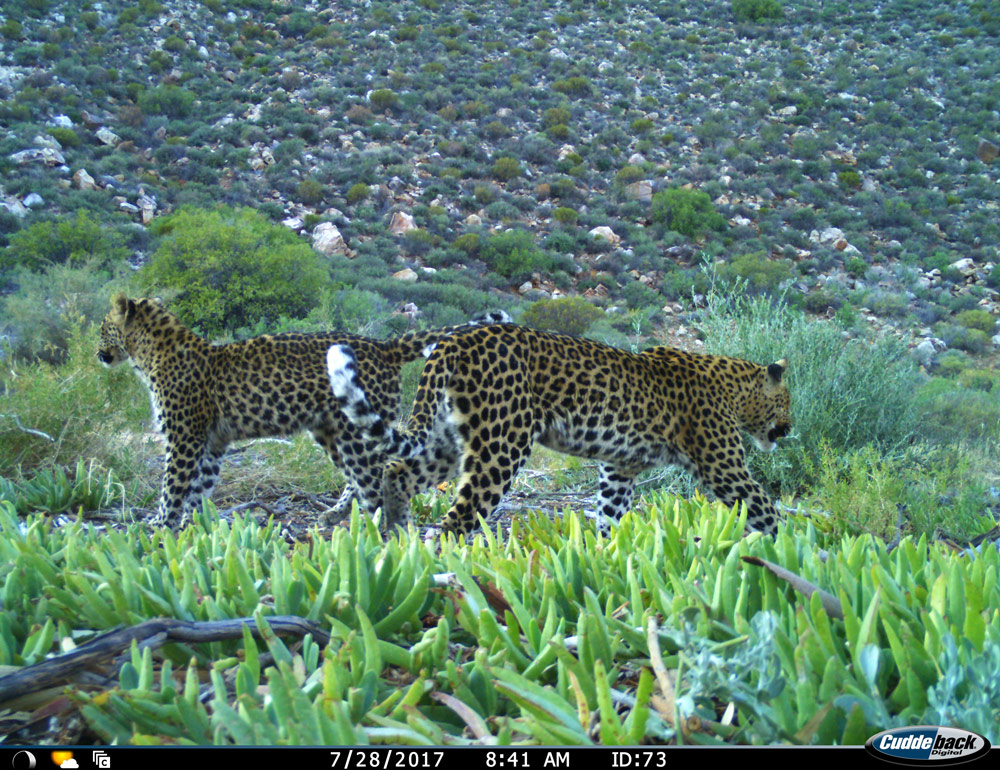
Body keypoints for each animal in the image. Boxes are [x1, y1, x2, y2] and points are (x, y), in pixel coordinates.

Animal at [96, 290, 508, 528]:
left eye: (102, 327)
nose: (97, 351)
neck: (148, 356)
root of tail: (384, 345)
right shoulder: (211, 444)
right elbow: (198, 488)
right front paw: (190, 527)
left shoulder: (183, 439)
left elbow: (172, 486)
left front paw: (158, 524)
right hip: (334, 431)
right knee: (367, 476)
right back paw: (338, 513)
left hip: (353, 434)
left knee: (376, 478)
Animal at [326, 322, 788, 536]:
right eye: (786, 402)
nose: (789, 427)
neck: (733, 386)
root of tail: (456, 338)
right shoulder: (725, 469)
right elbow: (765, 510)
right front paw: (791, 554)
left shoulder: (619, 469)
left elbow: (610, 514)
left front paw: (606, 555)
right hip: (502, 445)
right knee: (458, 519)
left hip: (448, 440)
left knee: (397, 471)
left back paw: (396, 539)